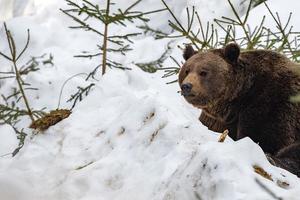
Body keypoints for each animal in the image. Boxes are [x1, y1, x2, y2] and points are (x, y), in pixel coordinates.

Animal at [179, 43, 298, 177]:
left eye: (203, 72)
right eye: (187, 70)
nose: (186, 86)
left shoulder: (270, 104)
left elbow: (263, 138)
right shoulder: (220, 120)